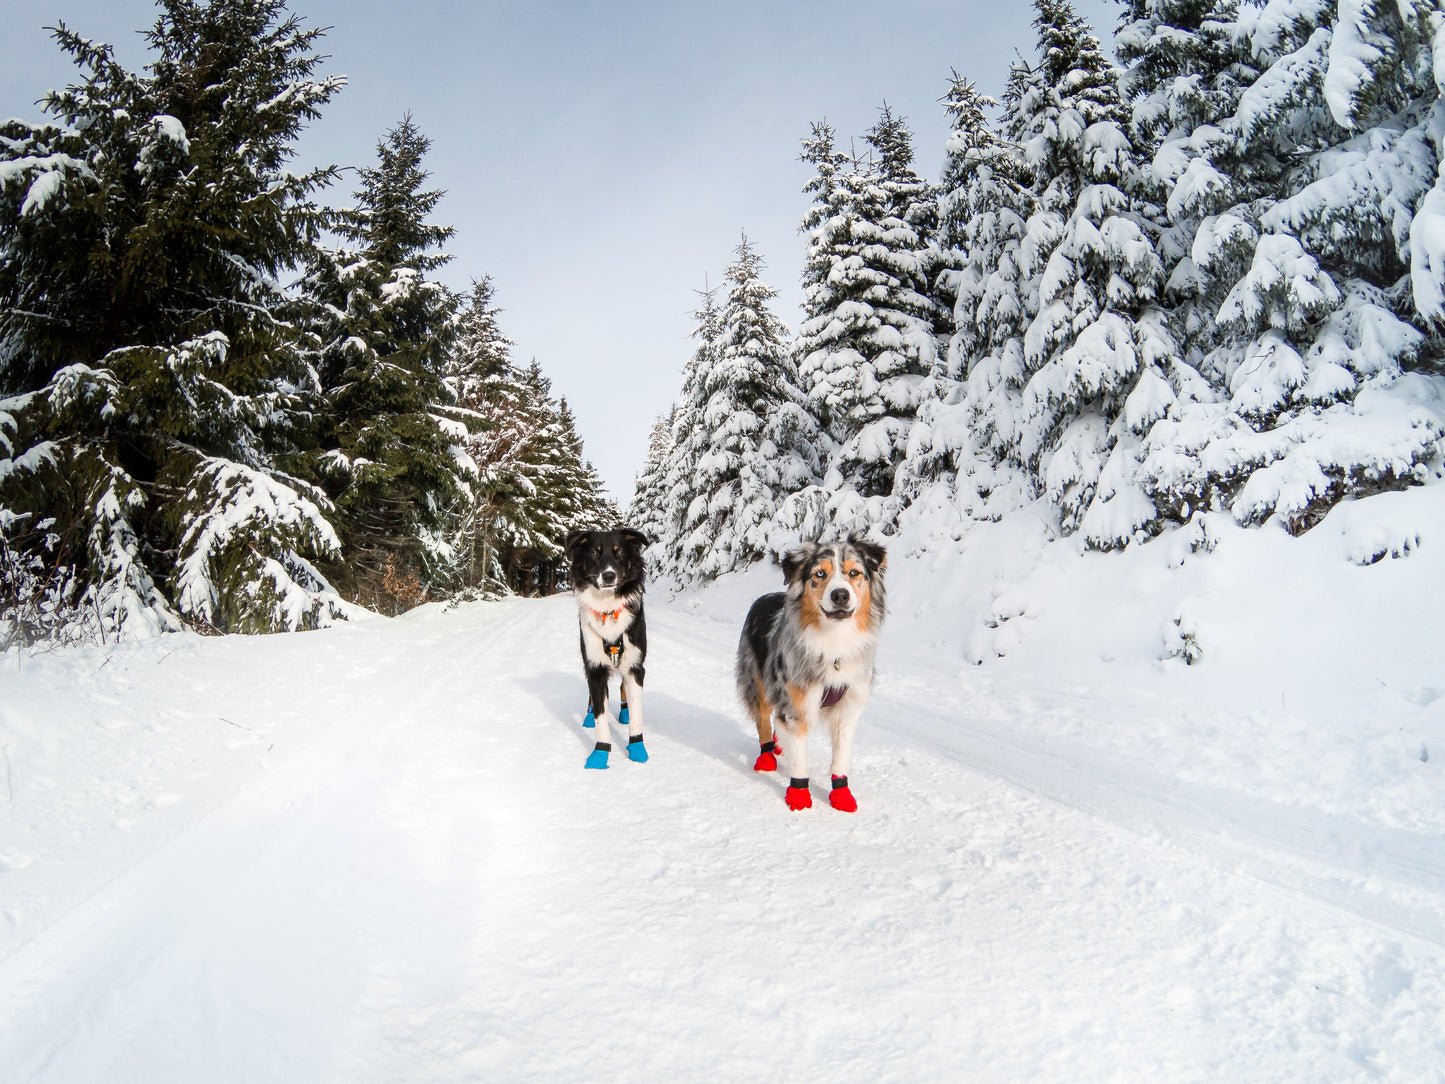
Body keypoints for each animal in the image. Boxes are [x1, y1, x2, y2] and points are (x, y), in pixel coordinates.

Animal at [563, 528, 650, 774]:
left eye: (620, 553)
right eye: (594, 553)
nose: (609, 576)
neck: (609, 609)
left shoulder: (635, 666)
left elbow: (637, 714)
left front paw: (637, 748)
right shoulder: (595, 668)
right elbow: (601, 716)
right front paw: (600, 754)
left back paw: (624, 710)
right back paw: (589, 715)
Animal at [739, 540, 884, 809]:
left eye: (854, 572)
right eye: (819, 574)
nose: (840, 595)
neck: (834, 641)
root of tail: (766, 596)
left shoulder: (848, 707)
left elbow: (841, 756)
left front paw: (841, 795)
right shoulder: (797, 703)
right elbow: (799, 758)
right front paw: (798, 797)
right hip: (757, 679)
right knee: (763, 719)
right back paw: (767, 757)